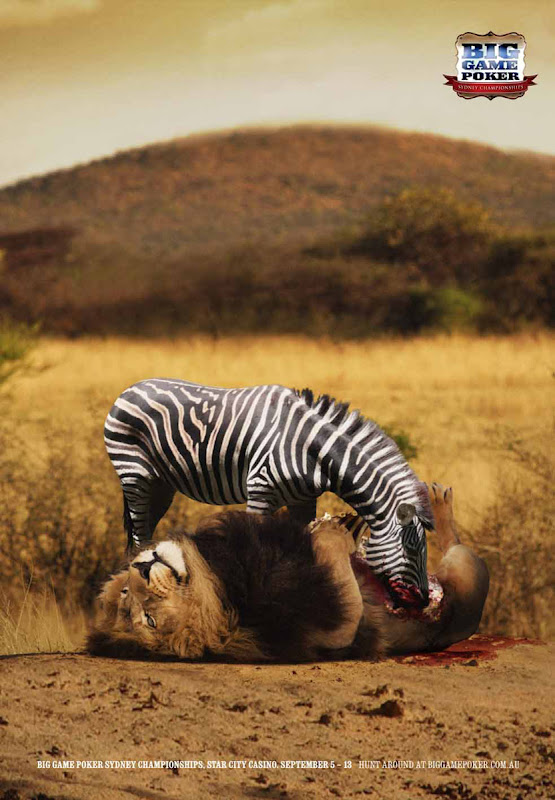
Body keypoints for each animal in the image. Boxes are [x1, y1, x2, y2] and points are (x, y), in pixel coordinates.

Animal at [104, 379, 434, 608]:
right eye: (413, 549)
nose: (424, 602)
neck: (312, 451)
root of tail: (131, 388)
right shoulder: (260, 491)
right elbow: (255, 547)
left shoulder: (304, 500)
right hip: (135, 476)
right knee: (138, 533)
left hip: (161, 486)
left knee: (145, 531)